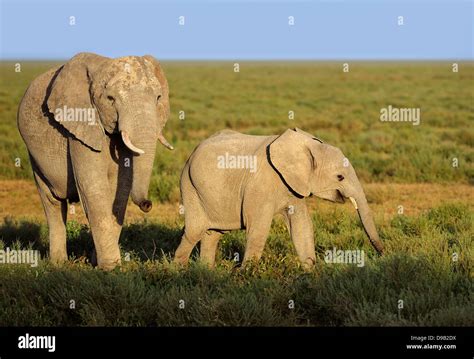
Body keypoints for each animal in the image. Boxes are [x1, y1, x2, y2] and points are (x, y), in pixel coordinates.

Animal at [19, 52, 174, 268]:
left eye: (158, 98)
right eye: (110, 99)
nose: (147, 204)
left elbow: (120, 189)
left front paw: (98, 263)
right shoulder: (79, 126)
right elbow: (93, 187)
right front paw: (112, 267)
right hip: (34, 155)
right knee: (52, 202)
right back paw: (59, 263)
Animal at [175, 128, 386, 268]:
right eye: (340, 177)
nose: (382, 253)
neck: (308, 145)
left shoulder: (294, 187)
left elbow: (301, 226)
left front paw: (310, 273)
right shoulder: (259, 186)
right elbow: (258, 228)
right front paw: (246, 274)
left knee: (214, 234)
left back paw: (206, 273)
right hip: (189, 184)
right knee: (194, 232)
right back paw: (179, 271)